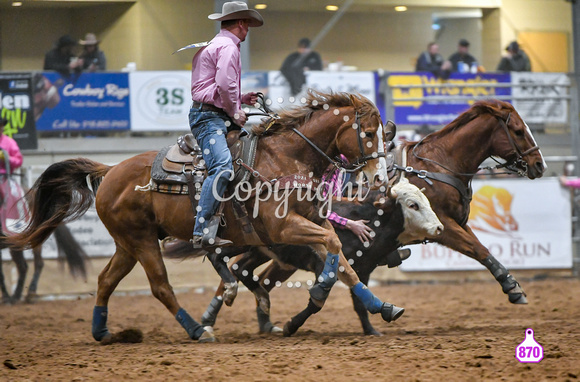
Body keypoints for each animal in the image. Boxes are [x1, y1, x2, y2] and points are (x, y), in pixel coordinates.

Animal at [9, 92, 402, 344]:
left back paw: (103, 332)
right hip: (142, 241)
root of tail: (110, 170)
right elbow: (335, 247)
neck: (288, 158)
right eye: (368, 134)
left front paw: (382, 307)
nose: (380, 178)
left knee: (106, 280)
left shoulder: (312, 224)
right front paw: (319, 291)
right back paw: (197, 330)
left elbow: (345, 265)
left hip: (127, 243)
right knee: (161, 286)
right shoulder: (285, 227)